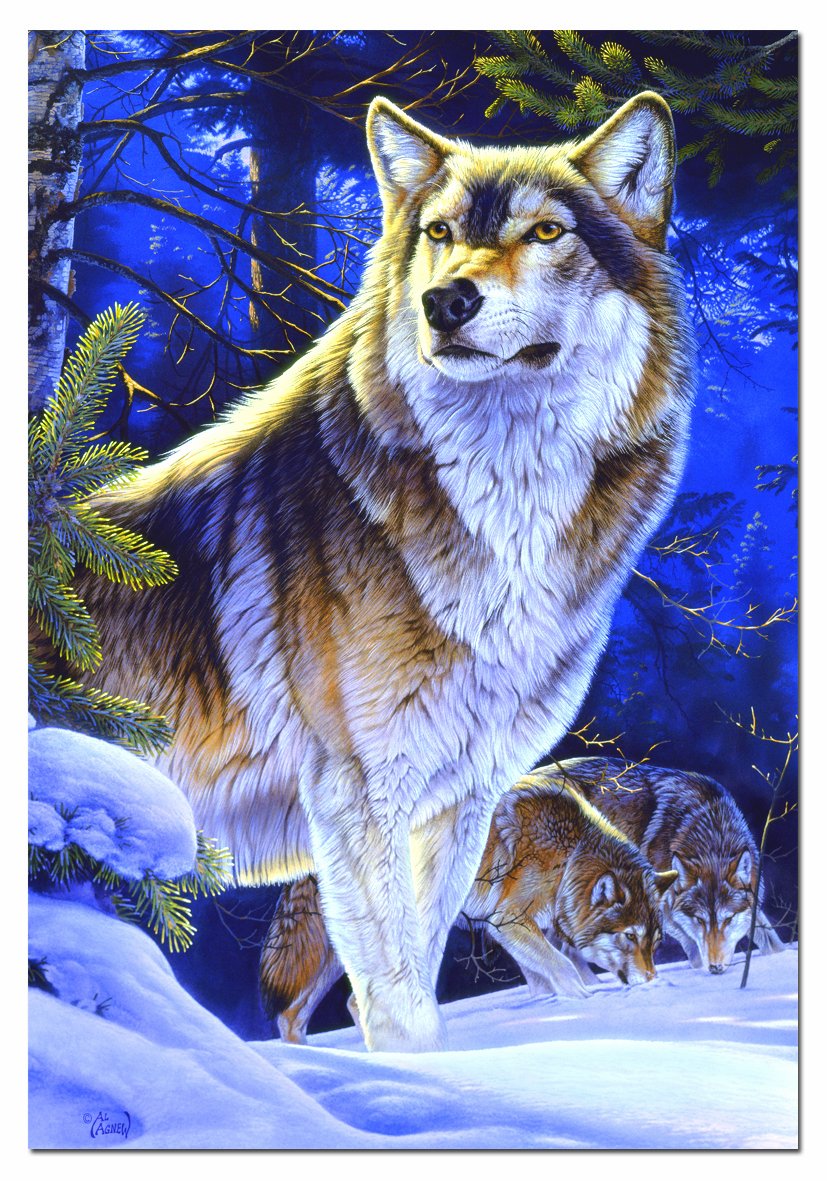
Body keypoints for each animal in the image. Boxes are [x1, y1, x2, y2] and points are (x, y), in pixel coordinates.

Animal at [262, 767, 677, 1043]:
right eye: (629, 937)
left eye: (655, 942)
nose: (652, 981)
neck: (568, 855)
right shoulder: (509, 922)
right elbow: (564, 968)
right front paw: (585, 1004)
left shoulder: (519, 931)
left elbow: (551, 975)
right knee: (346, 1003)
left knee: (295, 1015)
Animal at [547, 758, 785, 972]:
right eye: (699, 920)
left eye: (728, 919)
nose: (715, 968)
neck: (711, 836)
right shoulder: (664, 910)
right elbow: (693, 948)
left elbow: (771, 939)